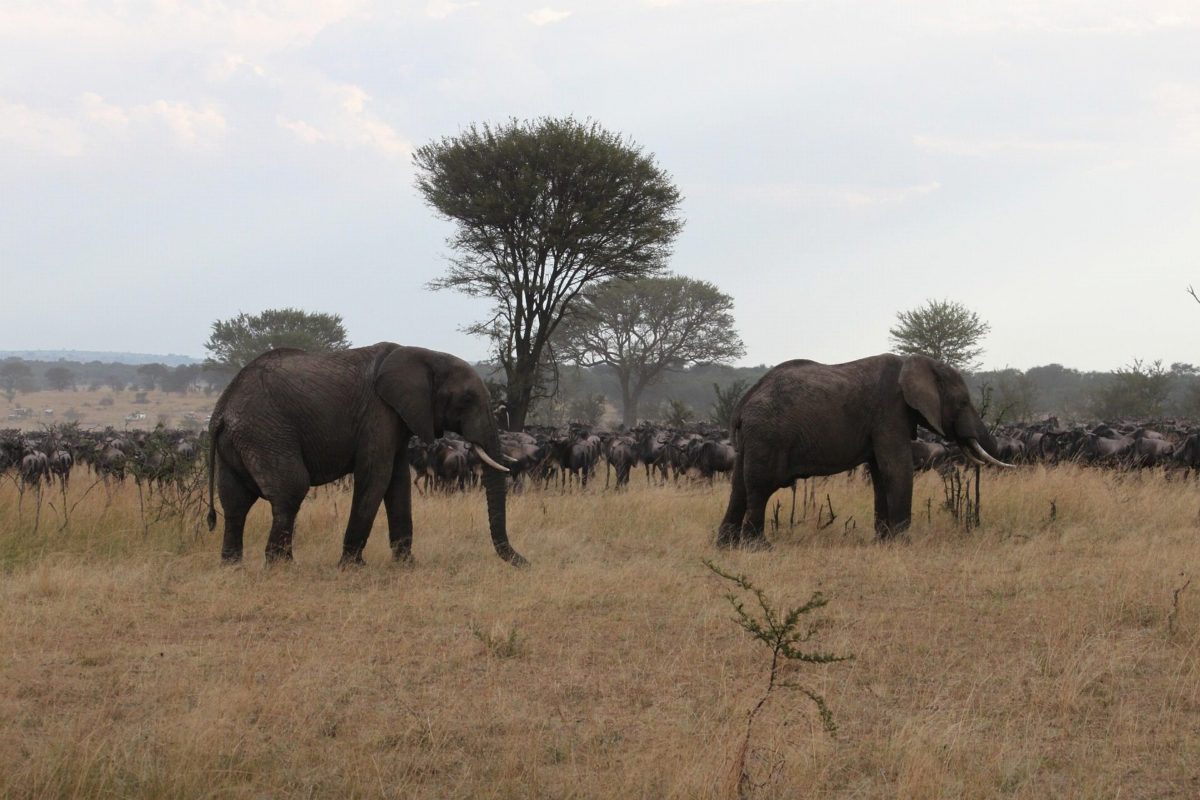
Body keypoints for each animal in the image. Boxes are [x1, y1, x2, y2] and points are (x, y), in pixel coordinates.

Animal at [205, 343, 526, 567]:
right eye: (467, 399)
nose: (525, 562)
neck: (424, 353)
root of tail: (222, 409)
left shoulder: (397, 418)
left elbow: (398, 482)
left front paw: (407, 565)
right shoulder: (378, 413)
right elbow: (376, 477)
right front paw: (352, 566)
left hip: (240, 441)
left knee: (235, 502)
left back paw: (232, 566)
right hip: (266, 432)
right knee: (290, 492)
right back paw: (282, 567)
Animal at [718, 353, 1014, 548]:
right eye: (962, 402)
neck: (915, 362)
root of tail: (744, 403)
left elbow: (881, 475)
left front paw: (883, 542)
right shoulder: (889, 411)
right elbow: (896, 469)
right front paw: (902, 544)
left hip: (753, 439)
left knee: (739, 487)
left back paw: (726, 546)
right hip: (768, 435)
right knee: (760, 487)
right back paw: (758, 548)